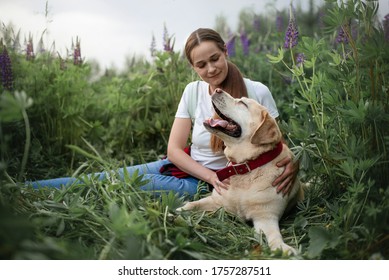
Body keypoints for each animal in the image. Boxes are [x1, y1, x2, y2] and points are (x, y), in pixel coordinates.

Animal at [178, 88, 304, 255]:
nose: (217, 89)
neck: (245, 167)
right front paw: (175, 210)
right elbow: (192, 204)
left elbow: (273, 235)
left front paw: (283, 248)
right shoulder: (216, 202)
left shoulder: (265, 216)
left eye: (243, 103)